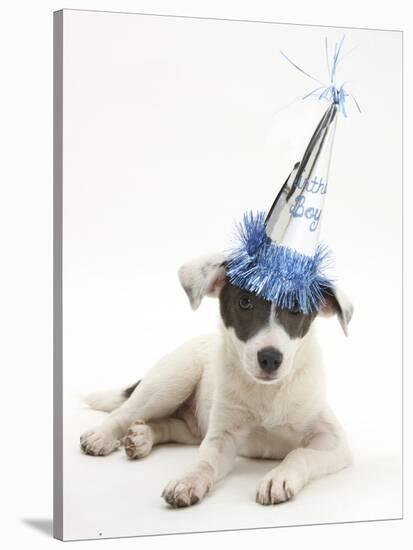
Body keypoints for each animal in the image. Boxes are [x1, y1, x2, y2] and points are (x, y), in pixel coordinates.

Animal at [81, 254, 354, 508]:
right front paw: (189, 480)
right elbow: (205, 462)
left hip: (192, 425)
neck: (267, 392)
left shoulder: (334, 441)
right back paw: (102, 437)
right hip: (173, 379)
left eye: (296, 308)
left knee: (171, 425)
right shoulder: (222, 437)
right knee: (124, 414)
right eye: (245, 302)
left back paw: (142, 437)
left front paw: (278, 477)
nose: (270, 358)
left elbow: (301, 453)